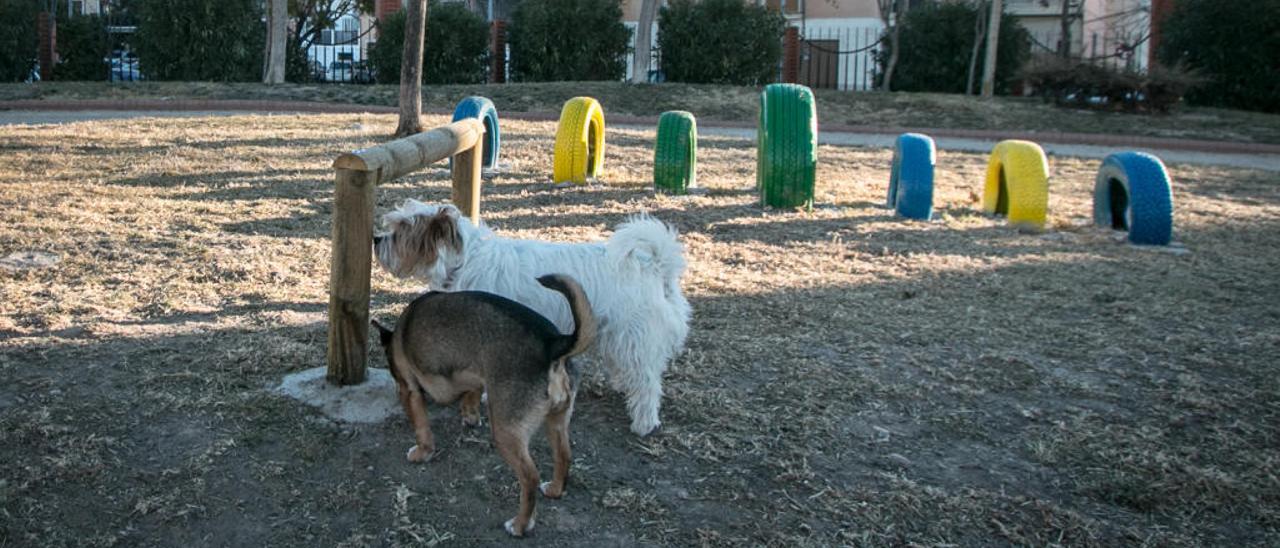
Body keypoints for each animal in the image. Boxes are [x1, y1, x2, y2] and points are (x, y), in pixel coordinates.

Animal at [368, 271, 591, 537]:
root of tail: (553, 343)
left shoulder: (409, 390)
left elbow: (421, 427)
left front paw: (422, 452)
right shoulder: (473, 375)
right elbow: (472, 392)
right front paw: (470, 415)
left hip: (506, 434)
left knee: (530, 478)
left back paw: (520, 524)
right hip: (557, 422)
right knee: (564, 456)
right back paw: (555, 489)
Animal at [373, 201, 691, 437]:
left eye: (400, 230)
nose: (376, 239)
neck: (465, 261)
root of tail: (653, 264)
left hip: (632, 338)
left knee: (648, 382)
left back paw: (644, 422)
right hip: (617, 336)